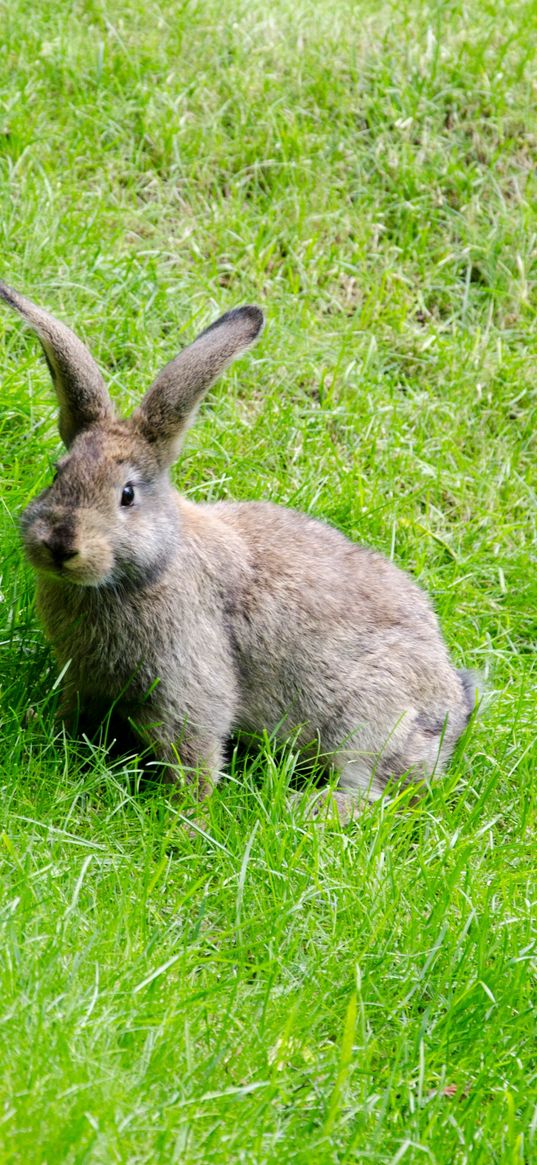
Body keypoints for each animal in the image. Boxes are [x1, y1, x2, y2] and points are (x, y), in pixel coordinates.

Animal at [0, 283, 472, 824]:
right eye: (57, 474)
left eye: (127, 495)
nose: (60, 545)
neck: (148, 569)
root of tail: (454, 708)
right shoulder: (84, 676)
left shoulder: (189, 677)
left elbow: (194, 747)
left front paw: (187, 817)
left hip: (369, 719)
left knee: (379, 794)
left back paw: (305, 806)